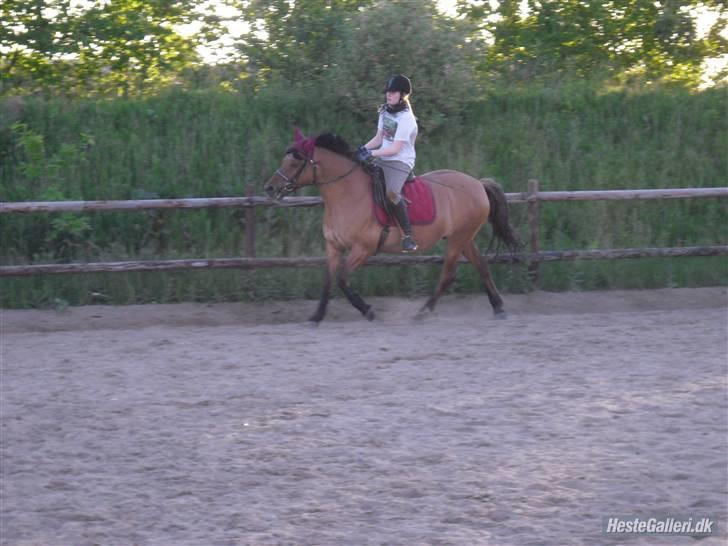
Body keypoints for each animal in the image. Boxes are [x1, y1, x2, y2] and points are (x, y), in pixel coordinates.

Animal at [264, 129, 520, 323]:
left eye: (295, 161)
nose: (270, 188)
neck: (346, 195)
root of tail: (478, 183)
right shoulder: (334, 247)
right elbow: (327, 281)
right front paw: (316, 317)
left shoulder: (363, 249)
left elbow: (342, 279)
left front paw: (368, 310)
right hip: (464, 237)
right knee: (481, 266)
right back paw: (499, 308)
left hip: (459, 239)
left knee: (448, 274)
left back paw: (423, 312)